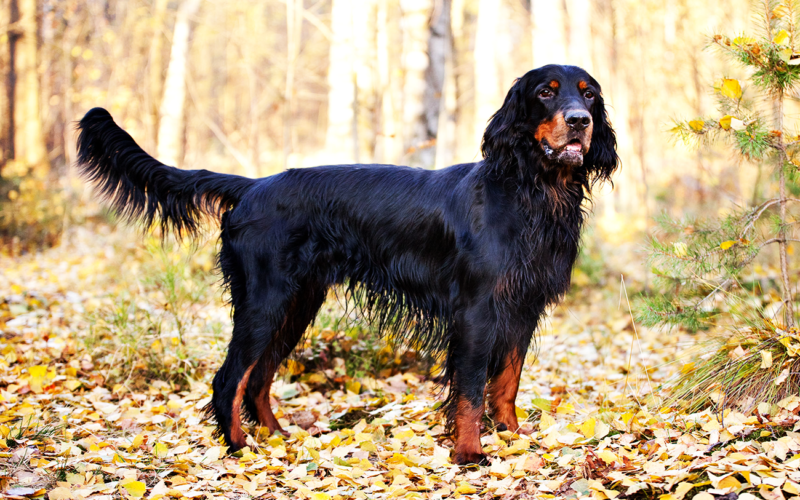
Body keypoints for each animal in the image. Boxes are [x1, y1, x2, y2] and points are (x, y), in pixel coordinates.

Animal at [75, 65, 620, 464]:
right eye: (546, 93)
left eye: (589, 94)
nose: (579, 121)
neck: (531, 191)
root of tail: (253, 186)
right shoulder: (476, 311)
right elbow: (469, 389)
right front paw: (468, 453)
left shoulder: (522, 307)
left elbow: (506, 382)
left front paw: (511, 435)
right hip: (265, 300)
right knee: (230, 378)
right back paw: (239, 446)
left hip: (297, 303)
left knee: (259, 377)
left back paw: (277, 434)